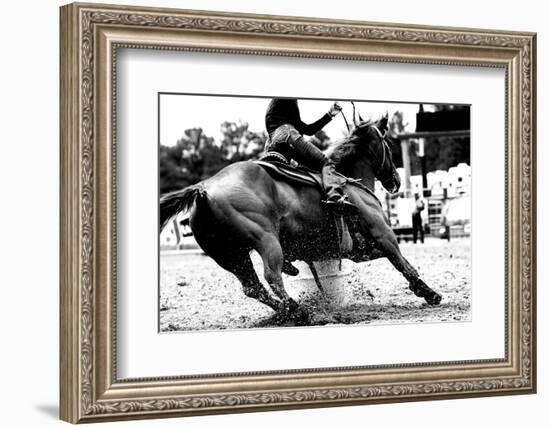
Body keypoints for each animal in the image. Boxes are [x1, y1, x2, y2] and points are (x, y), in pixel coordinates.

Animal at [161, 117, 444, 324]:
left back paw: (290, 311)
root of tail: (203, 189)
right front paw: (429, 293)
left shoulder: (358, 250)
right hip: (266, 242)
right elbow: (403, 264)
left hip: (230, 255)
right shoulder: (384, 235)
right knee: (272, 277)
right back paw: (298, 310)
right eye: (388, 144)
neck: (349, 183)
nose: (395, 180)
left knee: (253, 287)